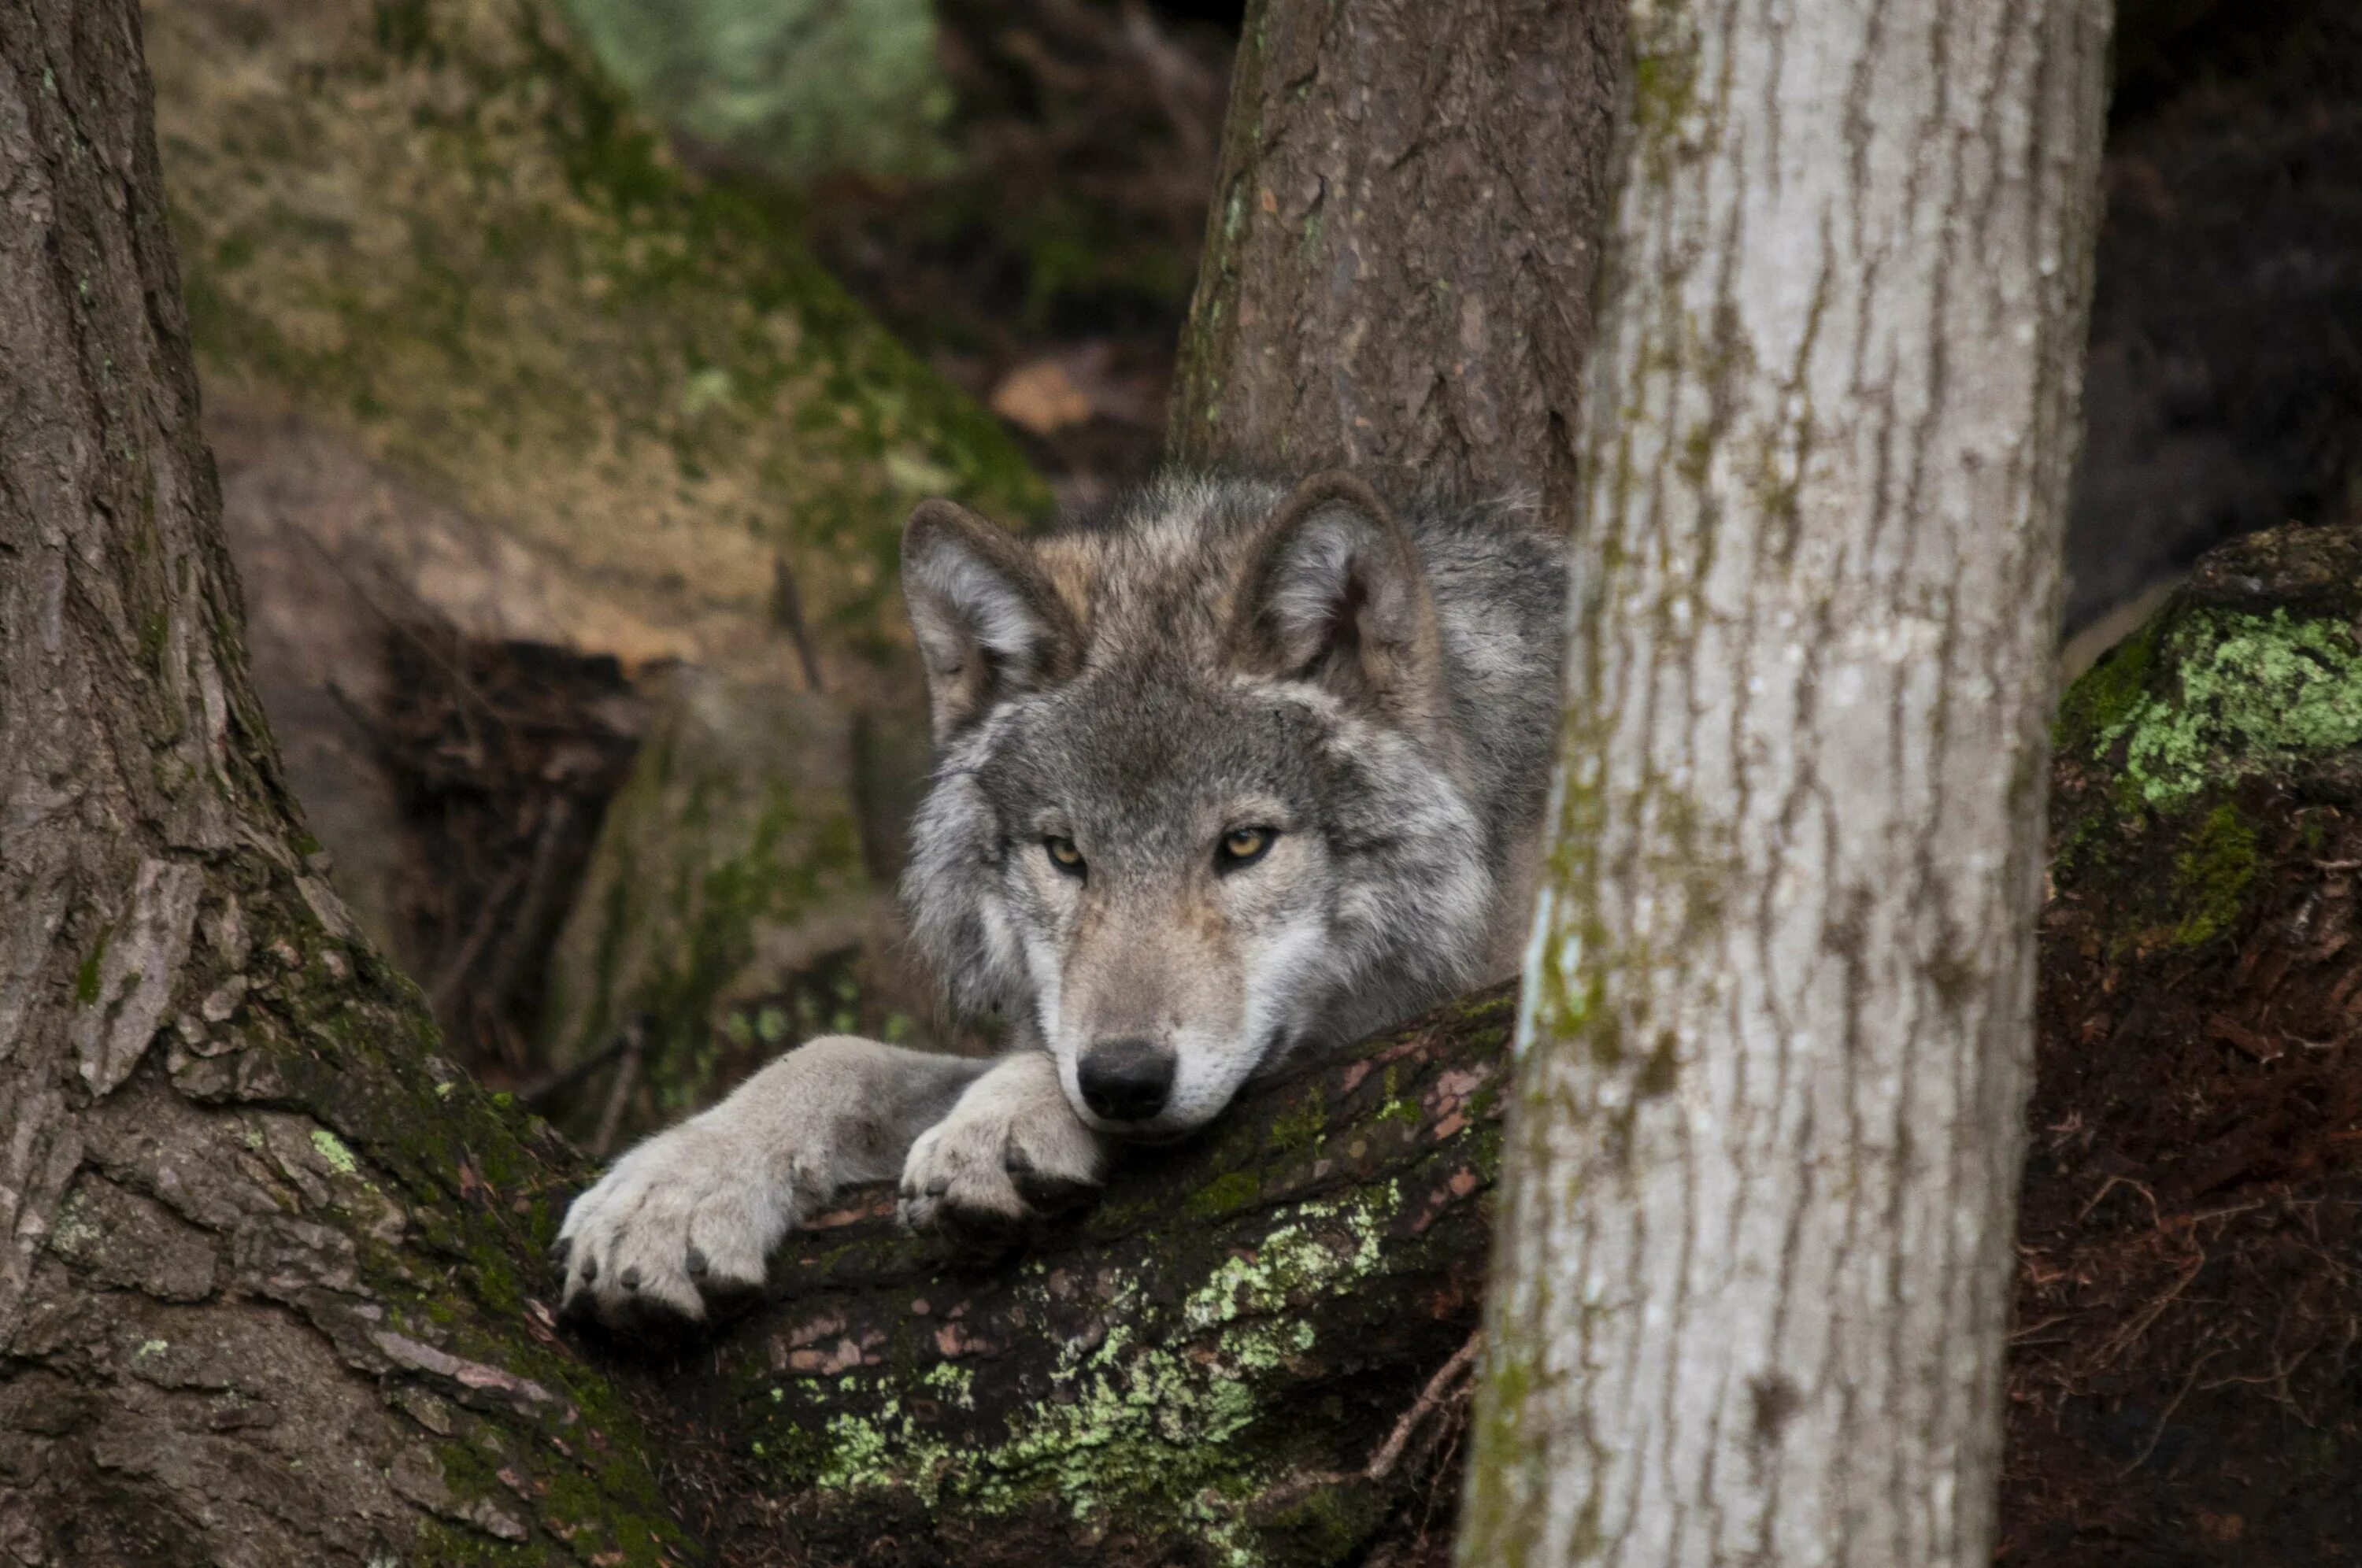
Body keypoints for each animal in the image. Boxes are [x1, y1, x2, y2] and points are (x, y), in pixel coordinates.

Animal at [553, 465, 1568, 1322]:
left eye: (1243, 845)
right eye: (1066, 853)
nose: (1121, 1083)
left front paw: (1002, 1120)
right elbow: (833, 1053)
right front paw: (672, 1187)